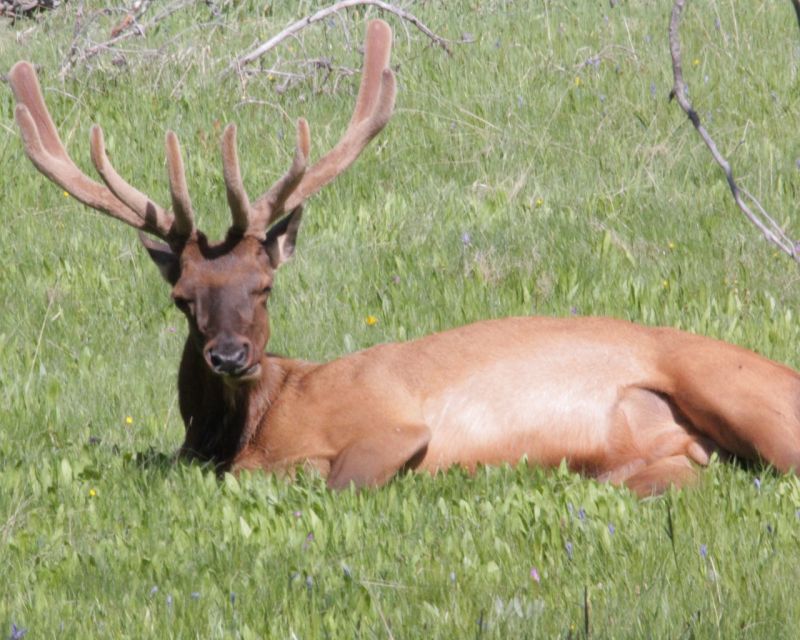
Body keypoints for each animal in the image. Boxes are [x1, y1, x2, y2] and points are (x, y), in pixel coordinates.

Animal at [9, 20, 800, 496]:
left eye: (264, 285)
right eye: (184, 299)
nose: (230, 355)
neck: (245, 429)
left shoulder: (391, 425)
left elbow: (329, 477)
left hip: (735, 389)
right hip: (655, 464)